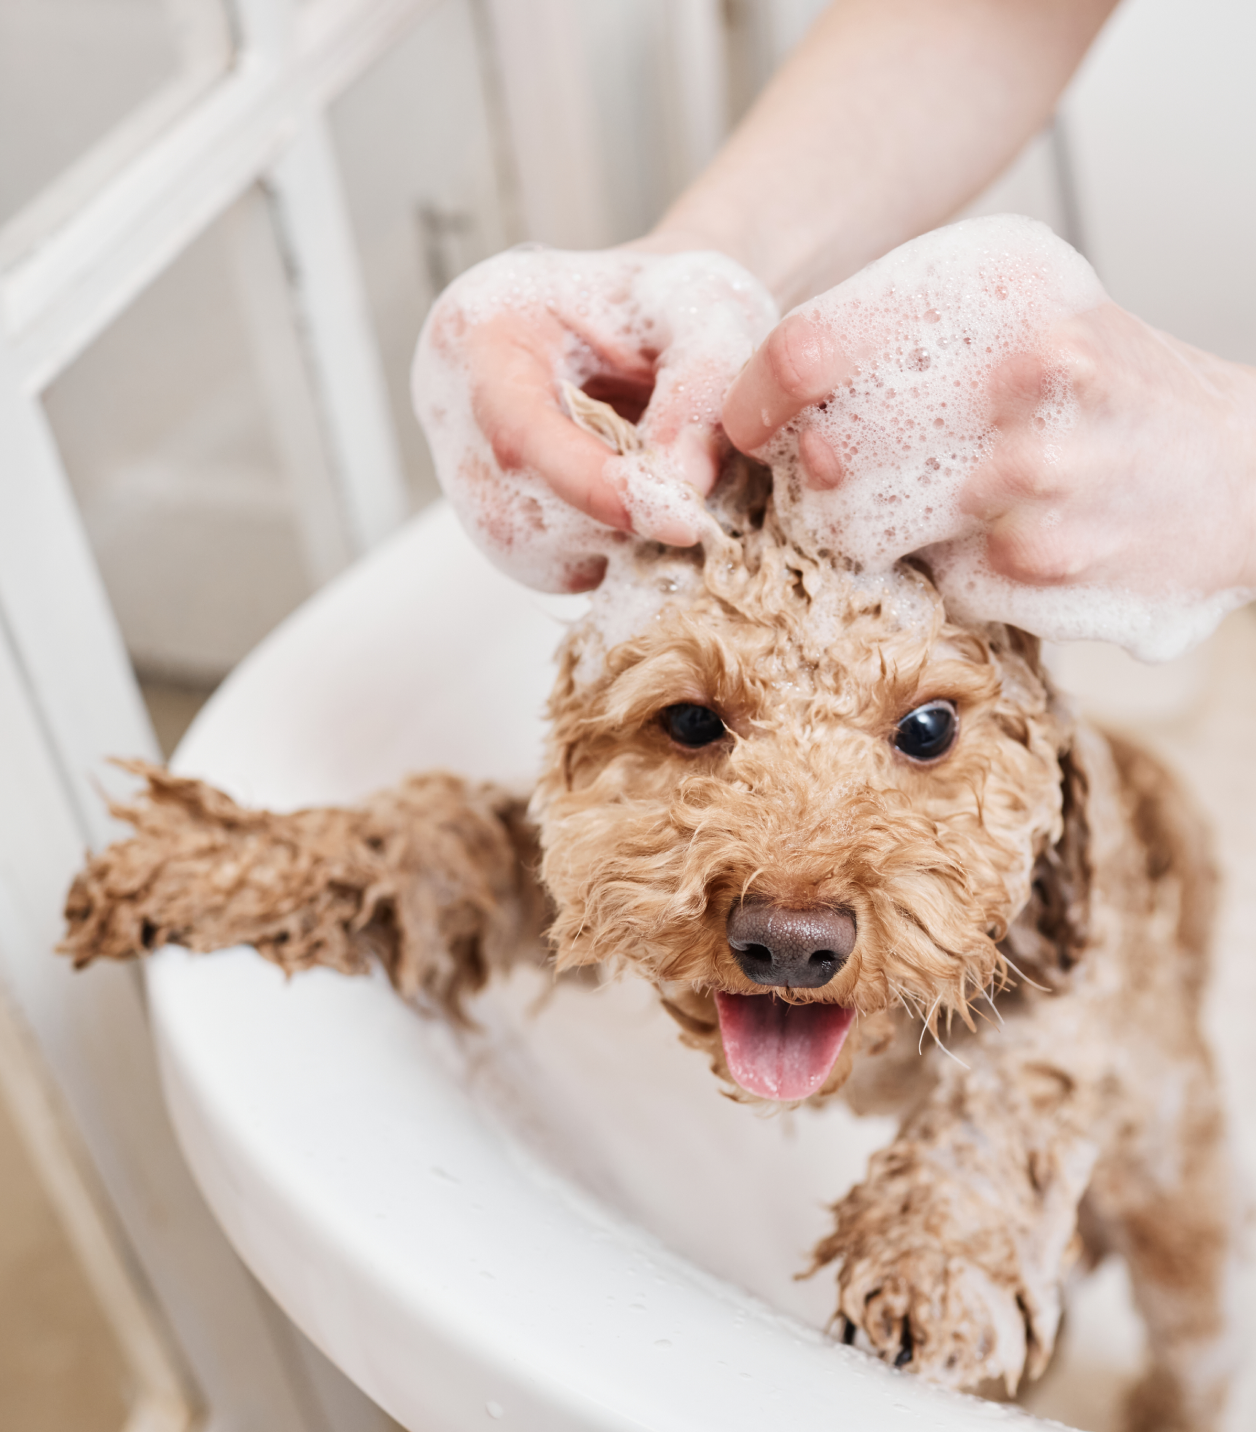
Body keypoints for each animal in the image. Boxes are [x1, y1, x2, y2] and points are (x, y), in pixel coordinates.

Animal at [61, 455, 1237, 1432]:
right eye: (690, 721)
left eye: (928, 727)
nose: (790, 942)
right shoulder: (563, 870)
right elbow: (433, 834)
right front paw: (226, 857)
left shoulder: (1074, 986)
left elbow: (1006, 1092)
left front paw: (933, 1252)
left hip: (1174, 1194)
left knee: (1192, 1335)